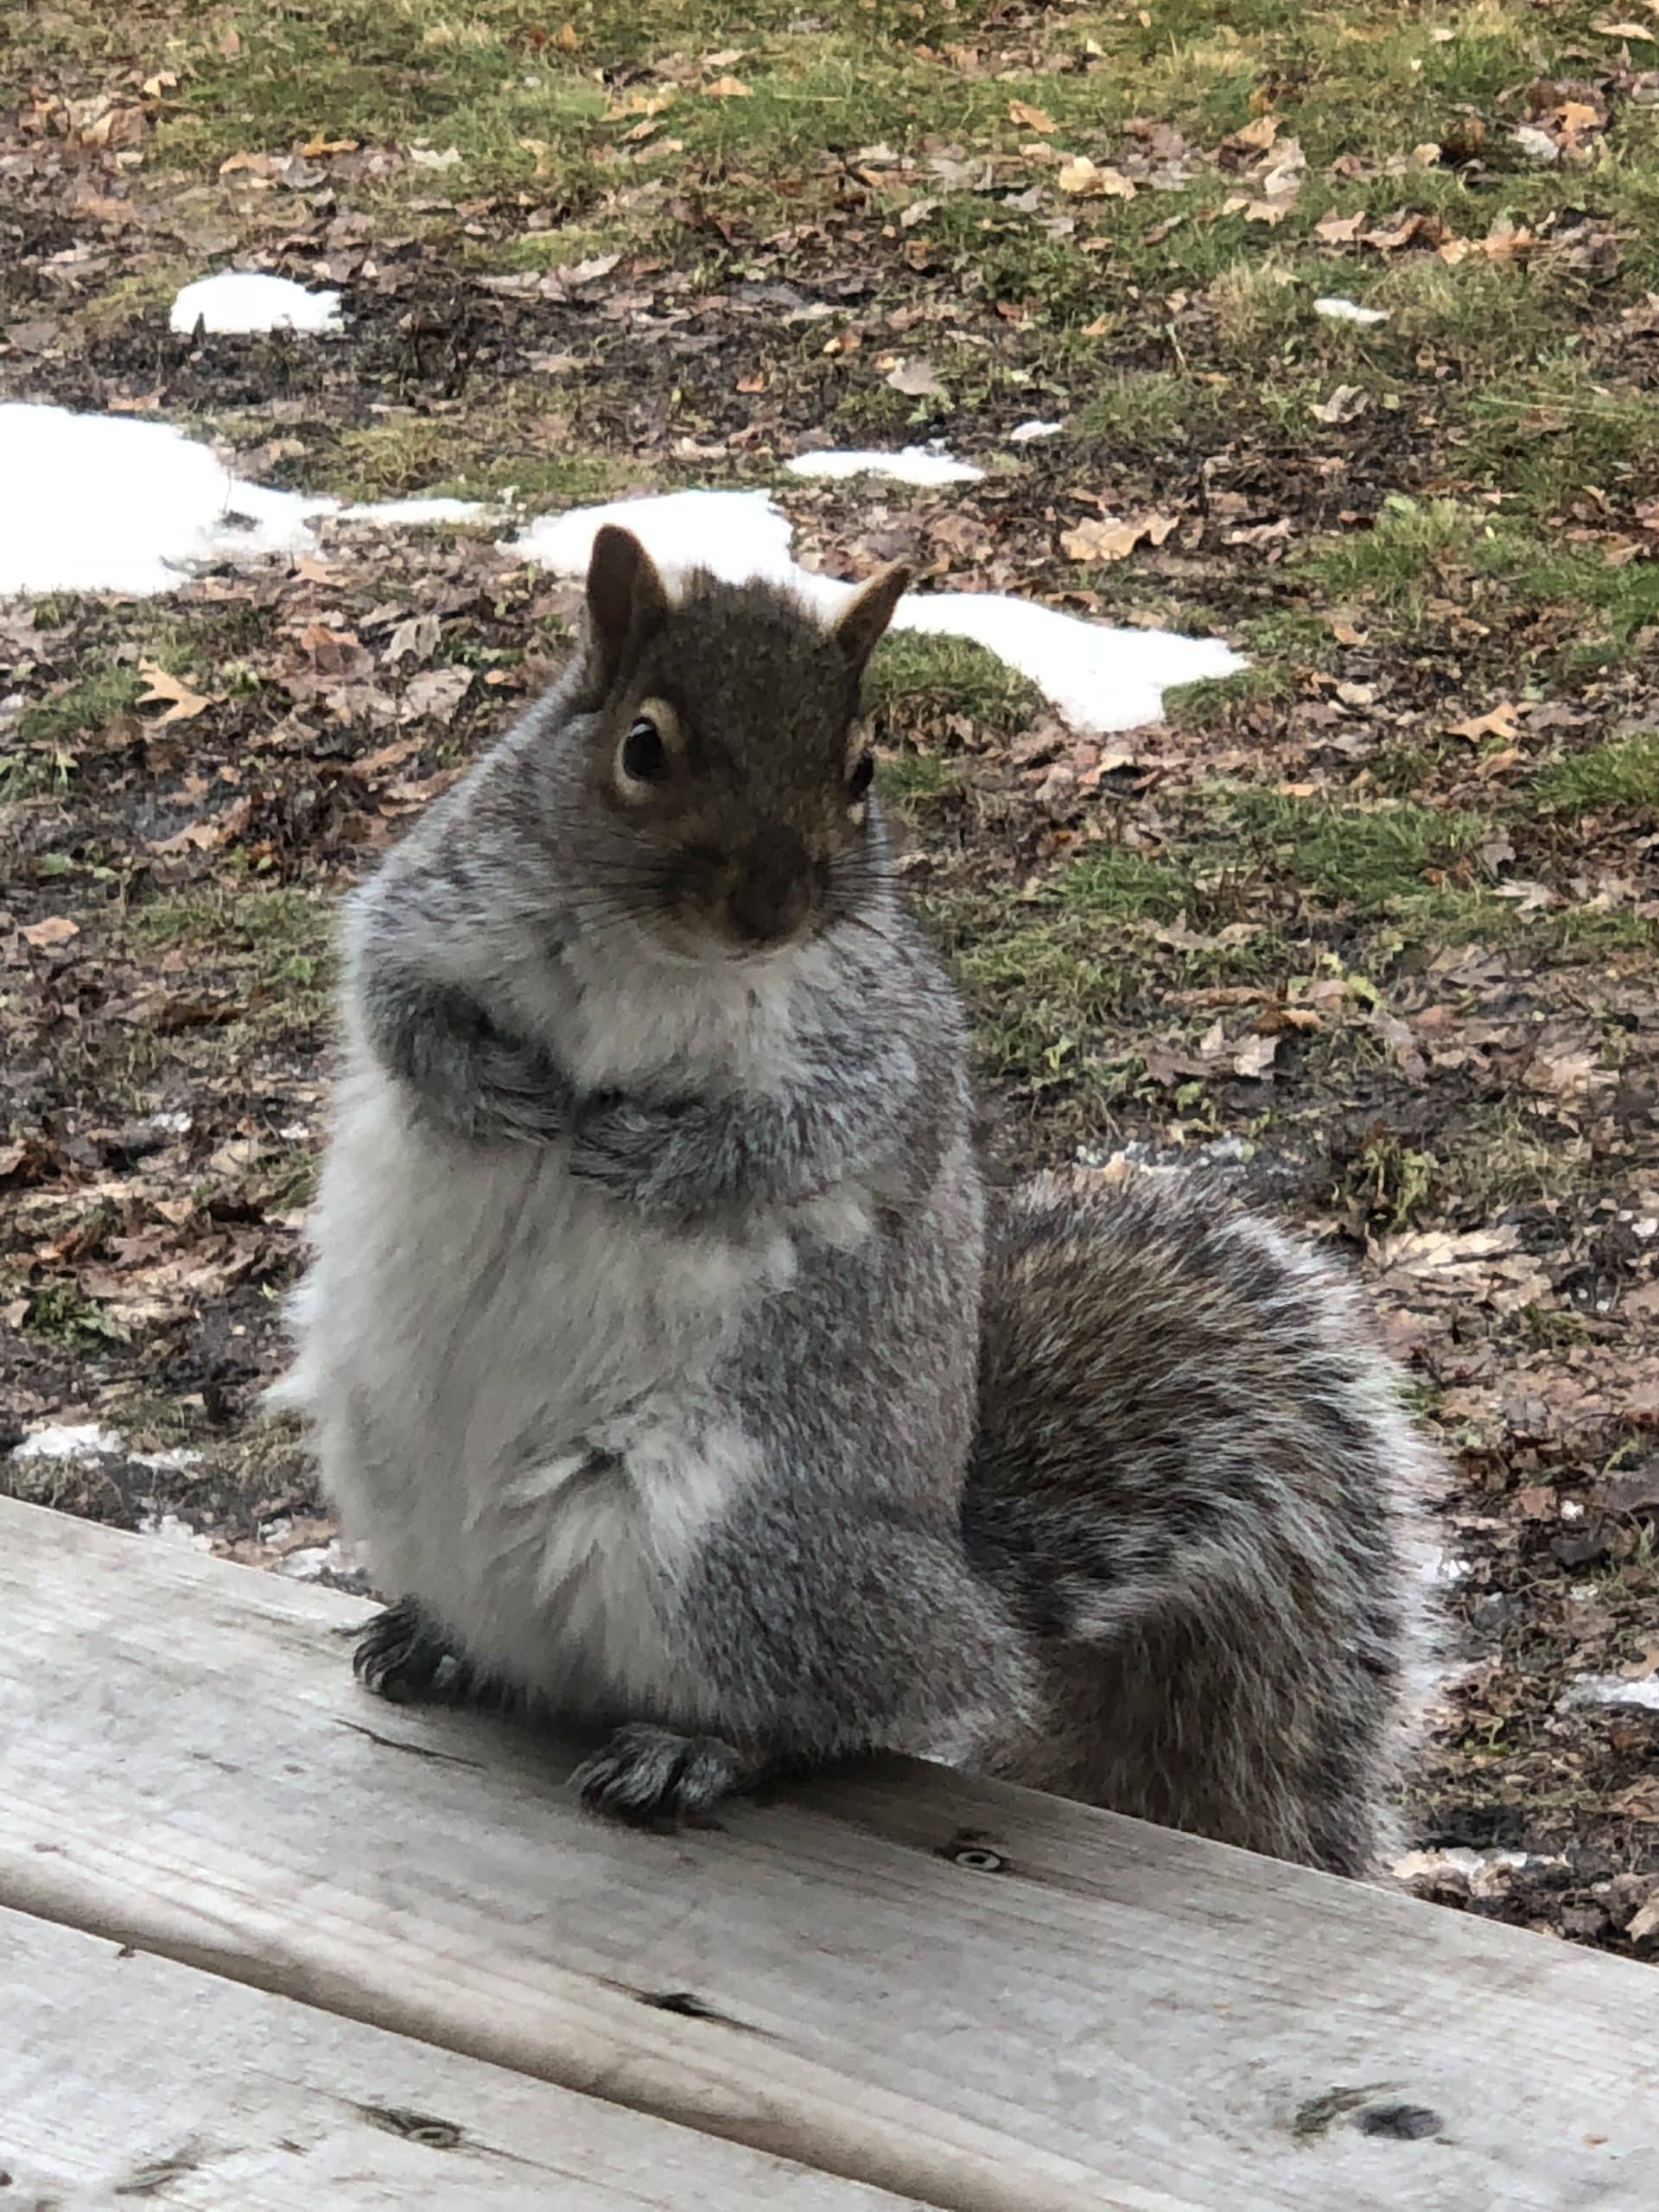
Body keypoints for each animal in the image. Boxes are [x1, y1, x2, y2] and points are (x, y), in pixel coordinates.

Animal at [276, 526, 1423, 1875]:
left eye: (862, 766)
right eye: (642, 747)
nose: (774, 907)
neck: (650, 955)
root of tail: (971, 1606)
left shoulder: (881, 1039)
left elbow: (814, 1139)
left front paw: (664, 1159)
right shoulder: (434, 898)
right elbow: (390, 1001)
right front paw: (484, 1086)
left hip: (729, 1551)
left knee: (832, 1719)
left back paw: (699, 1747)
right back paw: (445, 1642)